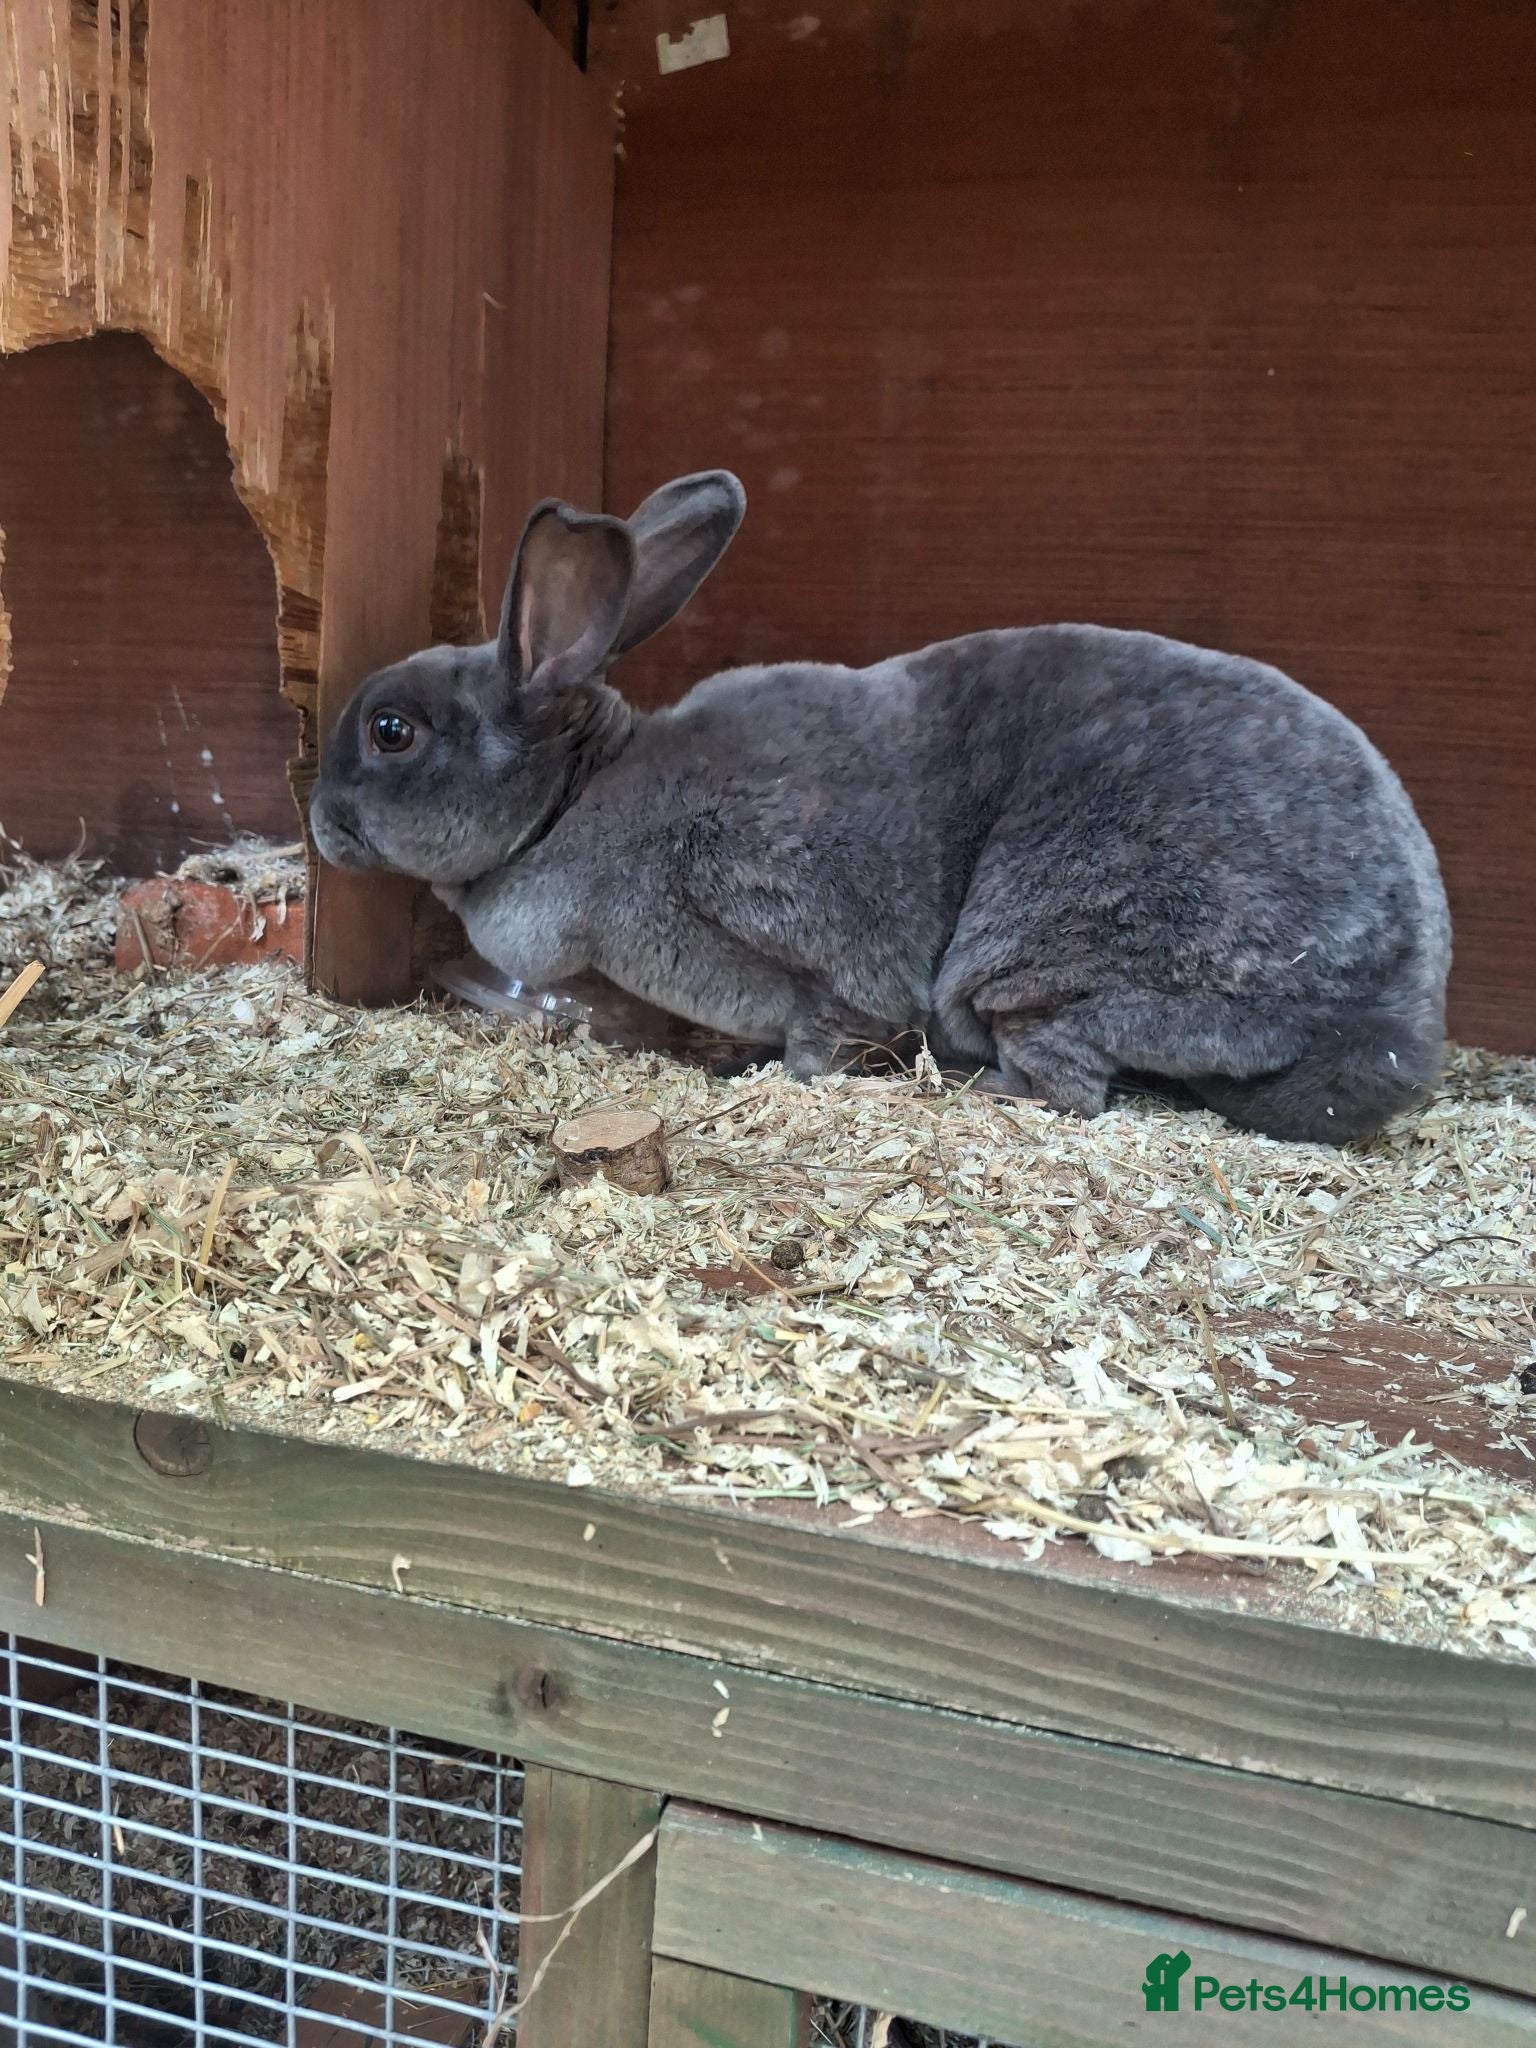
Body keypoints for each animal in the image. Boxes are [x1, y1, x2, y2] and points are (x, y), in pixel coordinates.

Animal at [309, 470, 1451, 1144]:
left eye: (390, 731)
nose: (318, 818)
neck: (575, 801)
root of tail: (1396, 1023)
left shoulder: (798, 931)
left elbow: (833, 1018)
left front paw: (788, 1076)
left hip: (1046, 955)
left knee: (1068, 1074)